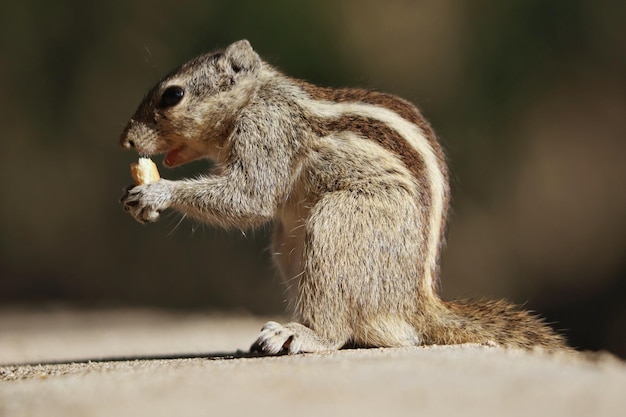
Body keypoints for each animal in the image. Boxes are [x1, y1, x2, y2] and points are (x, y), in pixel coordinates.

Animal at [117, 39, 564, 352]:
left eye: (172, 96)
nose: (126, 140)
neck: (258, 96)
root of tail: (413, 303)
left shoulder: (267, 132)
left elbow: (249, 196)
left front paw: (156, 192)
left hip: (338, 222)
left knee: (337, 328)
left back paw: (300, 335)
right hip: (289, 245)